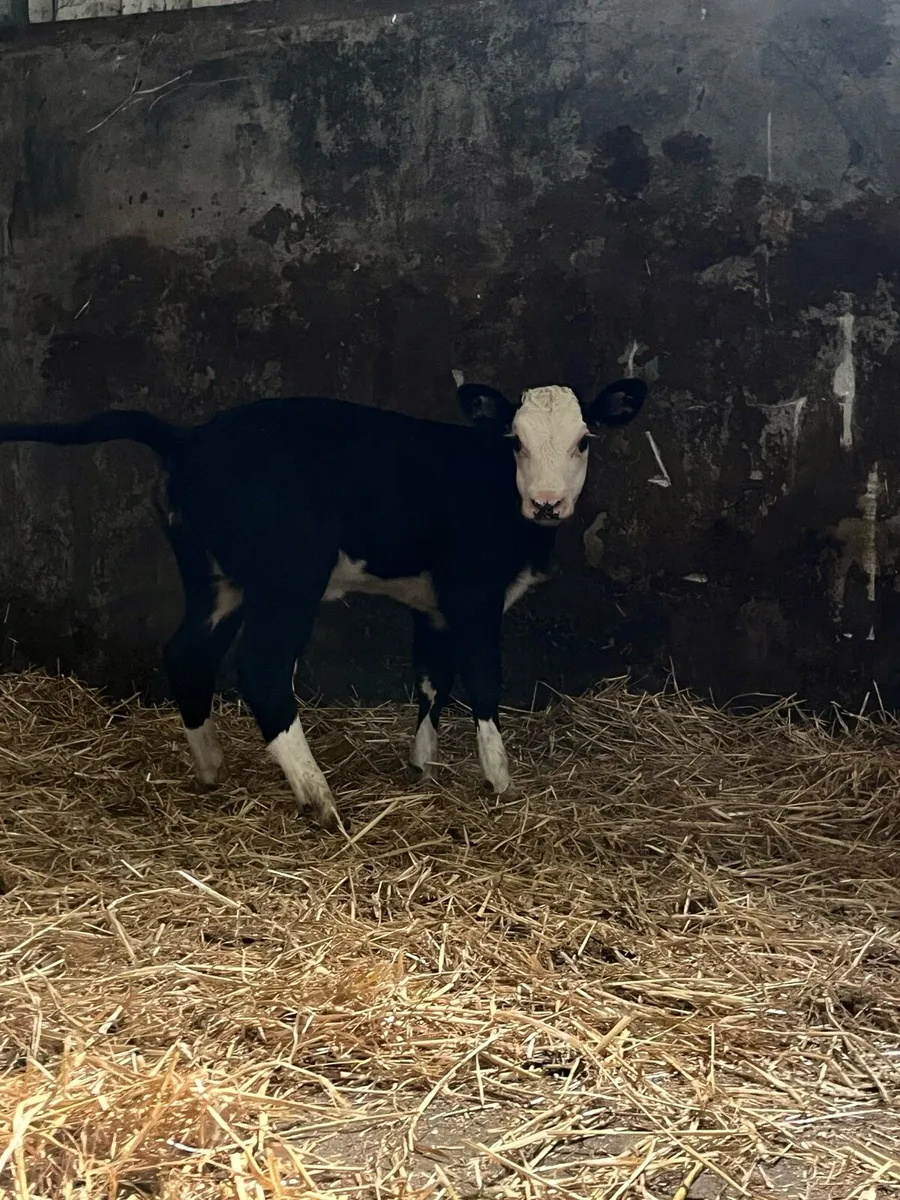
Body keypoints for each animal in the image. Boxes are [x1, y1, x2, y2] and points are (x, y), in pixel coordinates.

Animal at [0, 375, 646, 831]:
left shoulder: (432, 604)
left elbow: (432, 680)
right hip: (289, 579)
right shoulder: (474, 596)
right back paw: (320, 799)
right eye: (516, 442)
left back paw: (212, 769)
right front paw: (500, 782)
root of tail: (190, 437)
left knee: (188, 654)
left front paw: (422, 767)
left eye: (583, 440)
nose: (547, 502)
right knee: (261, 669)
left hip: (218, 579)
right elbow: (484, 683)